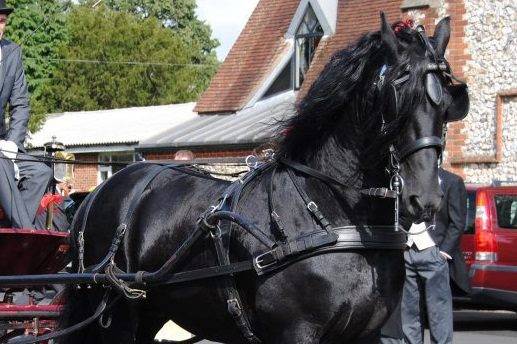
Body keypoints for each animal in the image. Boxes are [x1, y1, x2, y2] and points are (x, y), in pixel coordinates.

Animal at [59, 15, 464, 344]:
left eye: (447, 103)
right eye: (397, 92)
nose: (424, 198)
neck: (330, 214)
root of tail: (95, 194)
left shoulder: (366, 334)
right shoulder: (296, 331)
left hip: (150, 309)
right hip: (116, 313)